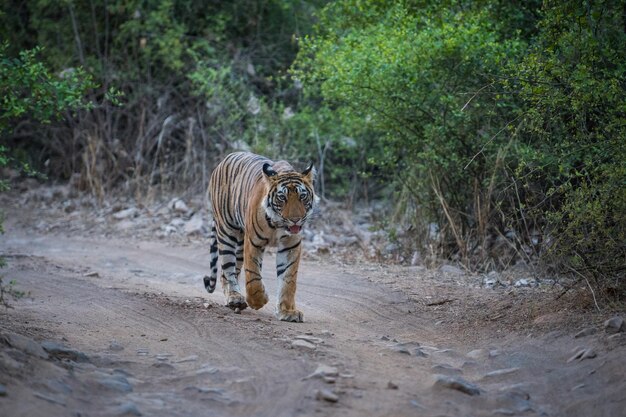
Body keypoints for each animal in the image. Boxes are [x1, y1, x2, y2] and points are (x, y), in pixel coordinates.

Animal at [202, 152, 314, 322]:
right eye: (282, 198)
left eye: (302, 196)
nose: (296, 219)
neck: (278, 224)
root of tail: (223, 160)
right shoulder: (254, 242)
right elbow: (253, 276)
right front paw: (258, 301)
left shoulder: (290, 245)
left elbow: (288, 279)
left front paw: (287, 312)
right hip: (227, 232)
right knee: (227, 268)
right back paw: (235, 298)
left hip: (240, 244)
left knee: (227, 271)